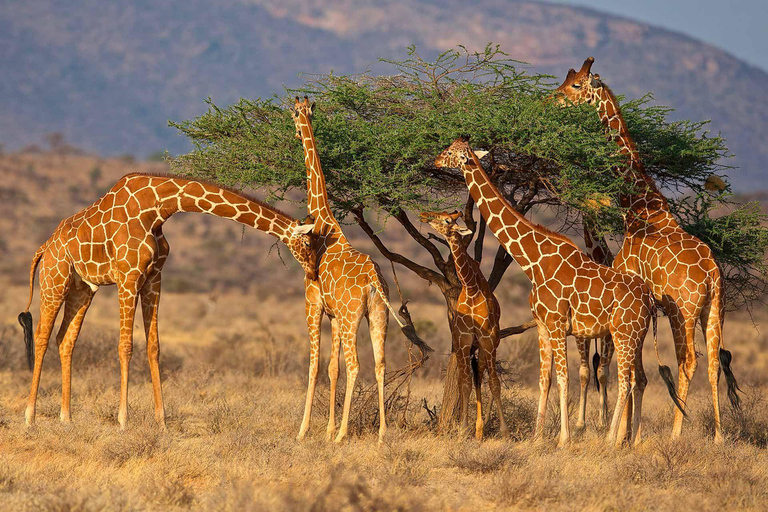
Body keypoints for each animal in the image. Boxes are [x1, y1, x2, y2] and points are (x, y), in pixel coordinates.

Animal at [18, 174, 318, 430]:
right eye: (307, 244)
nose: (314, 271)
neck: (158, 207)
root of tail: (44, 248)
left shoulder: (154, 278)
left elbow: (154, 347)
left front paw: (161, 422)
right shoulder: (128, 278)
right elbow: (125, 346)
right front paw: (123, 420)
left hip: (82, 289)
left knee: (65, 339)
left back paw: (66, 418)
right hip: (55, 281)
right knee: (42, 336)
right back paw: (30, 417)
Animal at [292, 97, 428, 444]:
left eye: (293, 113)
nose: (296, 132)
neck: (325, 224)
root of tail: (373, 281)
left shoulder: (313, 305)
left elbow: (315, 367)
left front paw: (305, 431)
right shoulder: (334, 315)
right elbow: (332, 368)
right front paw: (326, 429)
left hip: (354, 316)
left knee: (356, 366)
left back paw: (343, 434)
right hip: (378, 314)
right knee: (380, 364)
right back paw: (381, 432)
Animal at [416, 210, 508, 438]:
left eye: (447, 220)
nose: (424, 214)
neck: (472, 288)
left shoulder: (488, 340)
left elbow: (494, 384)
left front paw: (504, 431)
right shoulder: (464, 340)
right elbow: (464, 384)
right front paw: (463, 429)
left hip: (485, 347)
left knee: (480, 377)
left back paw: (481, 429)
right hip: (463, 346)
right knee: (469, 379)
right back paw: (475, 429)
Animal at [432, 137, 684, 448]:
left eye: (451, 152)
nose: (435, 160)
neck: (532, 261)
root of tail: (649, 300)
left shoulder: (557, 324)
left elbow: (565, 379)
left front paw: (564, 438)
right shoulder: (542, 326)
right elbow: (545, 380)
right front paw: (538, 437)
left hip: (624, 334)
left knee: (625, 381)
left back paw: (610, 439)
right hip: (636, 335)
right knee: (640, 379)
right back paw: (632, 440)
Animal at [556, 57, 740, 444]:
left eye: (577, 85)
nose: (551, 99)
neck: (639, 209)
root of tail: (713, 275)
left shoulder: (634, 292)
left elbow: (631, 371)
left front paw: (624, 435)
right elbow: (635, 372)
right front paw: (628, 434)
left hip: (682, 312)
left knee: (689, 361)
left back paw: (676, 434)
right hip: (714, 310)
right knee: (714, 362)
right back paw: (717, 436)